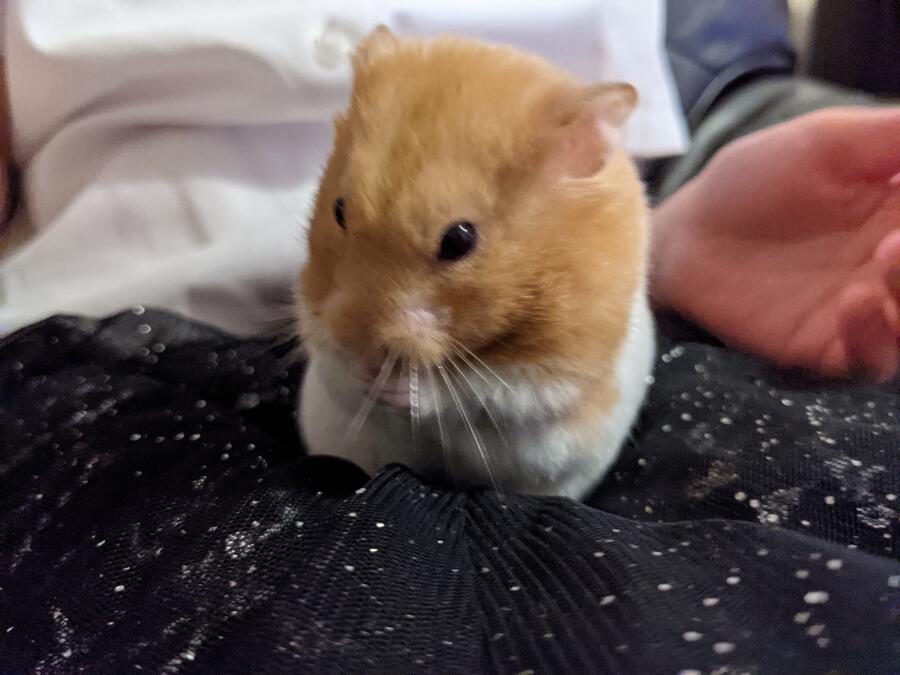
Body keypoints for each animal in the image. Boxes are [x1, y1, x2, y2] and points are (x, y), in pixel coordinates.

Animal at [296, 27, 655, 499]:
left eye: (459, 240)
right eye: (338, 210)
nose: (359, 342)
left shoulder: (550, 373)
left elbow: (472, 394)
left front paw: (394, 383)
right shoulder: (315, 312)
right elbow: (335, 361)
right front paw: (363, 369)